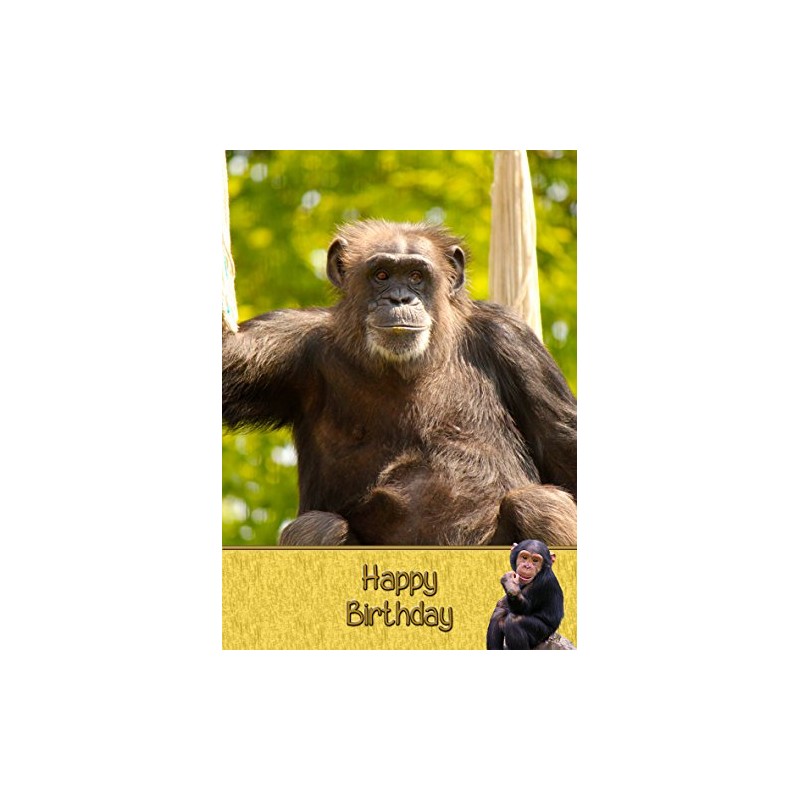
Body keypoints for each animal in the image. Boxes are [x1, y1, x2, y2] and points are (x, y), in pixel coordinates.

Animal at [222, 220, 576, 546]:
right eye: (381, 275)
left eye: (416, 276)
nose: (400, 298)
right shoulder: (285, 340)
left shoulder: (511, 338)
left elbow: (561, 441)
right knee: (316, 528)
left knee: (538, 504)